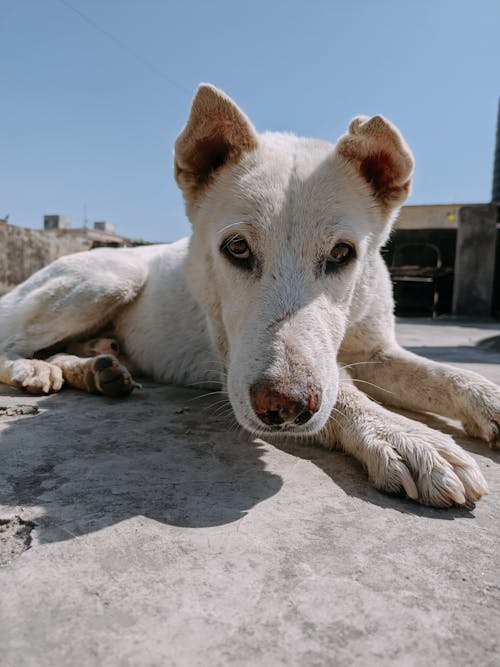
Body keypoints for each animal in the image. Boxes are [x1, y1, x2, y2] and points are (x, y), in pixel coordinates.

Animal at [1, 86, 498, 508]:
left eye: (342, 254)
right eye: (237, 248)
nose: (285, 406)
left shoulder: (378, 352)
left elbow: (448, 376)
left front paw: (483, 400)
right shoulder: (235, 361)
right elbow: (344, 391)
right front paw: (403, 435)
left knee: (66, 348)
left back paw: (95, 371)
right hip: (109, 280)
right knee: (13, 344)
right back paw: (36, 369)